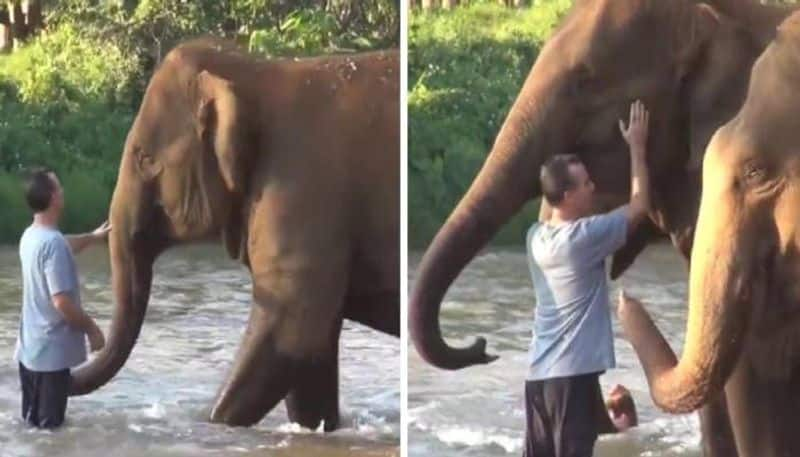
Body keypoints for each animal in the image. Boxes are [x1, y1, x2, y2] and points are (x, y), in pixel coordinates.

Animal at [66, 40, 400, 432]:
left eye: (144, 158)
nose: (91, 343)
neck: (252, 70)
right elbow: (312, 354)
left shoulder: (301, 193)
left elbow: (293, 326)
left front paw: (210, 425)